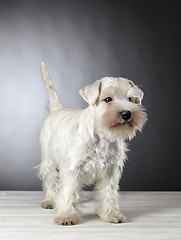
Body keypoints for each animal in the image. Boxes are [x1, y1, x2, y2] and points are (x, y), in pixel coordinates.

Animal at [38, 61, 147, 225]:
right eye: (107, 99)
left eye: (131, 99)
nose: (127, 114)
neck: (102, 137)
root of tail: (56, 110)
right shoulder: (73, 168)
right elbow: (69, 191)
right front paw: (66, 215)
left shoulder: (110, 171)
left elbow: (109, 193)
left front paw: (111, 214)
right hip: (49, 160)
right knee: (50, 180)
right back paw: (50, 200)